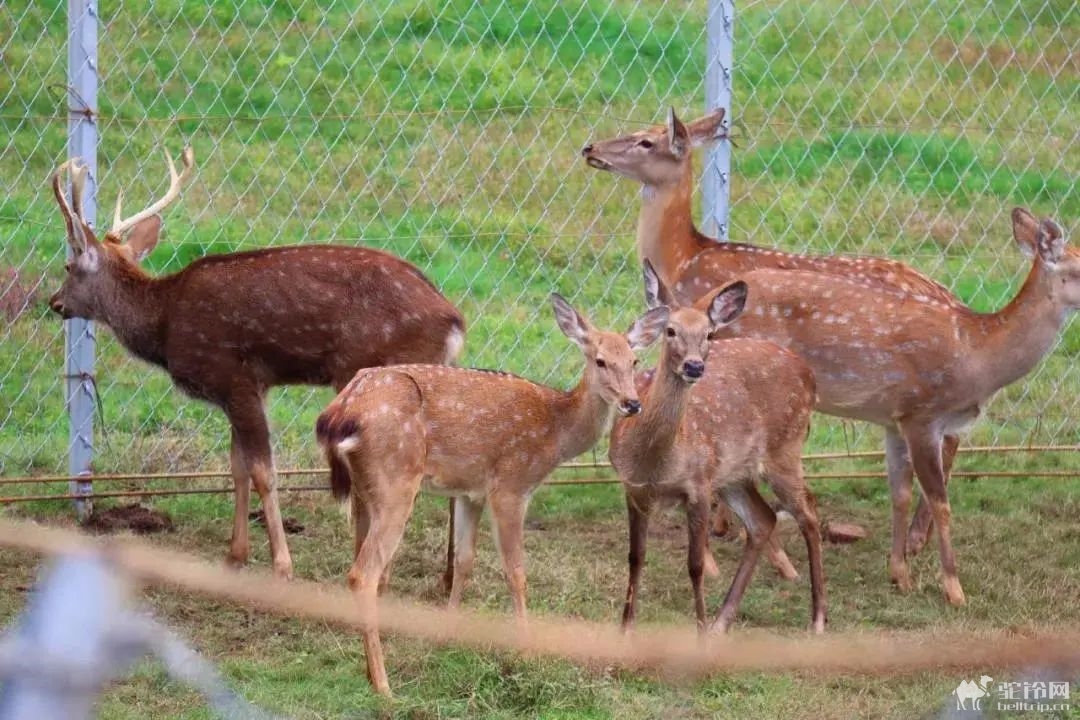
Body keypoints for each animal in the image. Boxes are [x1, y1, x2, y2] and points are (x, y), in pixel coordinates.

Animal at [47, 148, 464, 578]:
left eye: (69, 266)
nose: (54, 302)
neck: (164, 324)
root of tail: (453, 320)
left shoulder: (233, 376)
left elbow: (264, 472)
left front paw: (282, 564)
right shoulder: (251, 387)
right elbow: (238, 468)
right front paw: (235, 554)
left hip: (378, 371)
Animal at [315, 293, 665, 699]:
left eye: (634, 360)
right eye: (600, 360)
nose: (632, 403)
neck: (555, 431)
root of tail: (339, 413)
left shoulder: (472, 491)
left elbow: (465, 559)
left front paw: (446, 634)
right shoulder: (511, 485)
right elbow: (516, 571)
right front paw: (527, 651)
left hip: (364, 490)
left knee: (363, 566)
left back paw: (368, 671)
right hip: (396, 480)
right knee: (364, 574)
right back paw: (385, 685)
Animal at [587, 108, 967, 561]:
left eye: (646, 141)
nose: (590, 148)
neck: (683, 260)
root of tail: (954, 301)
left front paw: (722, 523)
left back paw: (915, 538)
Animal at [609, 262, 825, 634]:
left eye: (709, 335)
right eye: (670, 330)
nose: (694, 366)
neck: (655, 460)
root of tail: (808, 373)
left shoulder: (697, 485)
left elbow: (695, 565)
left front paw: (699, 630)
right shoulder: (634, 489)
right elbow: (635, 558)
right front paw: (625, 630)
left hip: (784, 449)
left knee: (809, 514)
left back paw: (818, 619)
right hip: (733, 475)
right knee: (763, 519)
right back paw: (722, 621)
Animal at [704, 208, 1075, 608]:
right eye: (1079, 267)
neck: (977, 356)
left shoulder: (894, 420)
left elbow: (900, 493)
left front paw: (900, 575)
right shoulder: (922, 413)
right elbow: (941, 502)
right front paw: (954, 589)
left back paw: (773, 565)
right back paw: (724, 566)